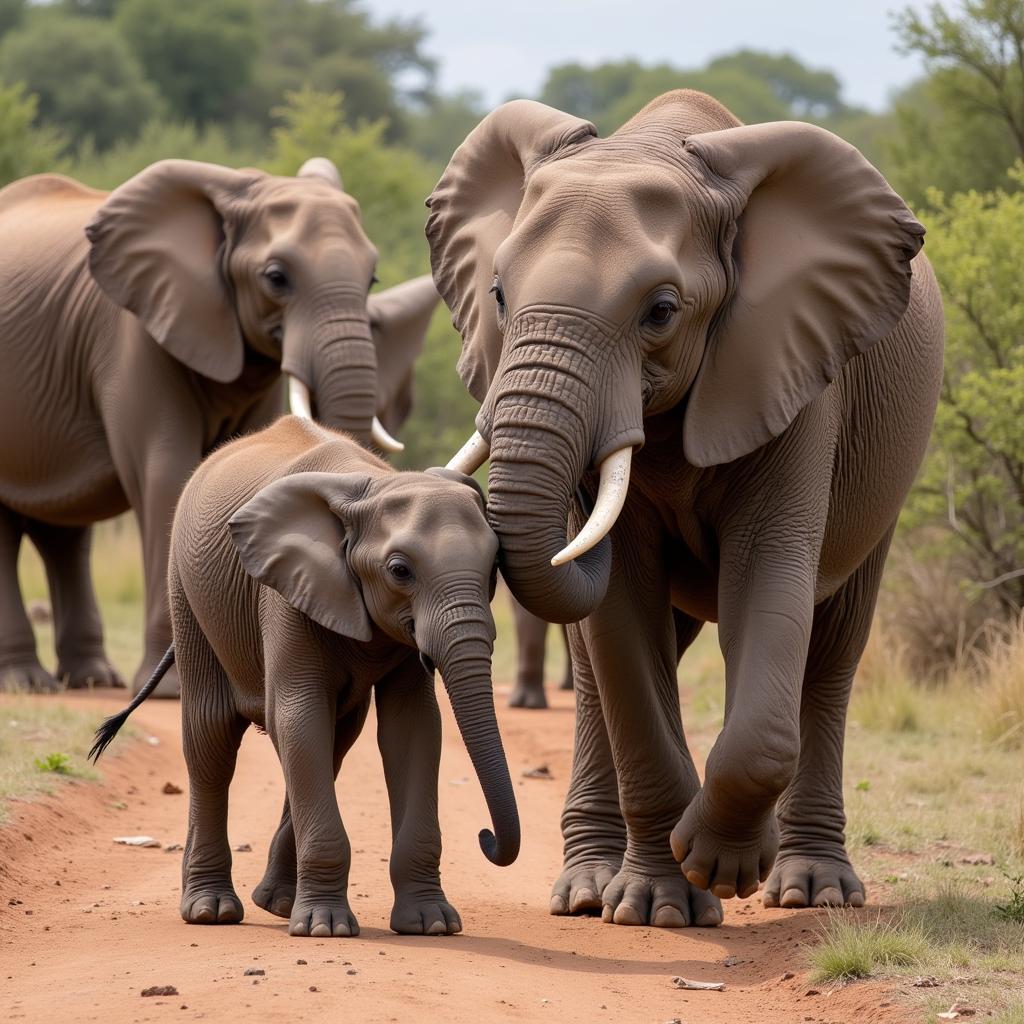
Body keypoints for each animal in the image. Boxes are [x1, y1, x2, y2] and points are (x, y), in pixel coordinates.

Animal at [0, 153, 436, 696]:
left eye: (373, 278)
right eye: (276, 277)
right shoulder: (133, 334)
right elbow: (167, 470)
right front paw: (173, 689)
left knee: (63, 530)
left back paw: (93, 680)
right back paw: (27, 683)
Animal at [92, 413, 516, 937]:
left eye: (494, 566)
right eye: (400, 570)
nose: (486, 837)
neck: (368, 490)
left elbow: (412, 729)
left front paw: (430, 924)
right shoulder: (284, 594)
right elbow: (298, 714)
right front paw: (325, 928)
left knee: (333, 740)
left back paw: (274, 902)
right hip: (186, 593)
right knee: (212, 738)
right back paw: (211, 911)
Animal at [432, 92, 942, 929]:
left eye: (662, 311)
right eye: (499, 297)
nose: (483, 839)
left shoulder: (791, 369)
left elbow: (767, 581)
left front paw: (726, 866)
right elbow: (624, 618)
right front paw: (657, 907)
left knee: (833, 651)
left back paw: (811, 889)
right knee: (602, 668)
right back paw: (587, 892)